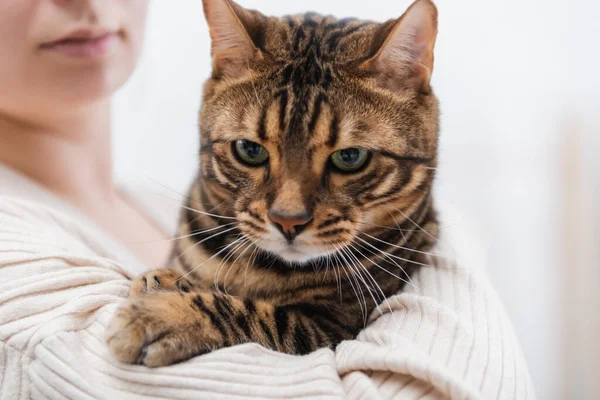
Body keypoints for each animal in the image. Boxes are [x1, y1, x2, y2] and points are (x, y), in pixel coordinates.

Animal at [105, 0, 440, 368]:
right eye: (250, 150)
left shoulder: (334, 330)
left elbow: (255, 313)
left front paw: (163, 312)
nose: (288, 221)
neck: (257, 267)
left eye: (350, 157)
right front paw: (163, 282)